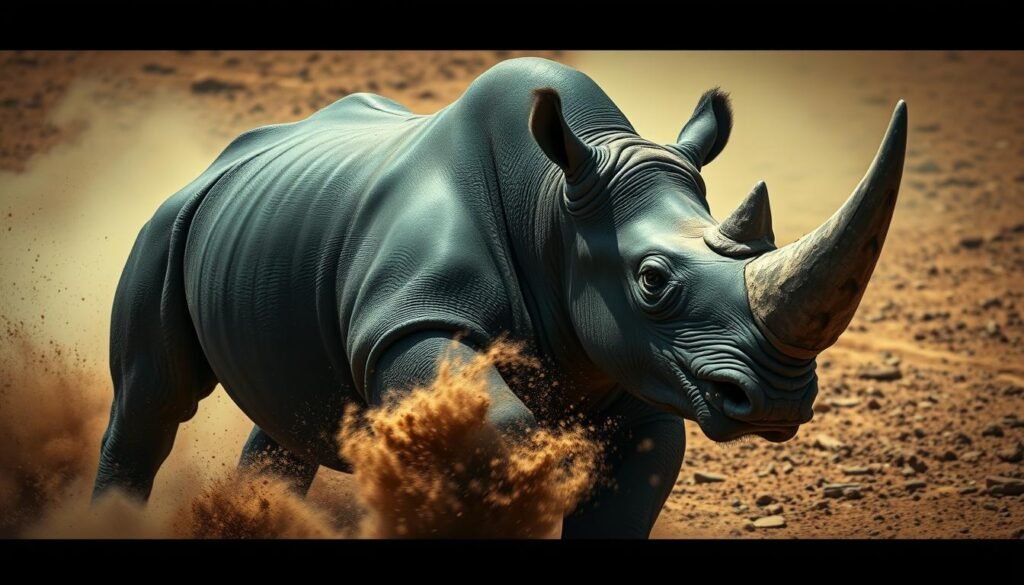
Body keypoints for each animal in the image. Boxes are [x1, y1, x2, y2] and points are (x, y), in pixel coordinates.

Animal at [93, 57, 906, 538]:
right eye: (652, 280)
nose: (778, 398)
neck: (556, 205)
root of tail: (220, 159)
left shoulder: (637, 367)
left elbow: (633, 479)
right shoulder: (410, 324)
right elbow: (503, 433)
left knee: (288, 416)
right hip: (167, 223)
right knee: (152, 397)